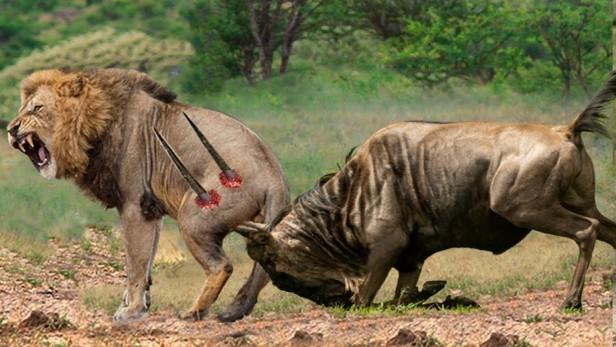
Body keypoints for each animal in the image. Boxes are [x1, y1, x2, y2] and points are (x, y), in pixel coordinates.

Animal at [6, 68, 292, 324]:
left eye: (37, 108)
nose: (10, 129)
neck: (95, 125)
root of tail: (275, 177)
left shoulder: (135, 206)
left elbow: (136, 263)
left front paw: (130, 312)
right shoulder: (152, 210)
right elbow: (147, 262)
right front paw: (138, 305)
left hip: (195, 215)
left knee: (222, 266)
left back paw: (194, 312)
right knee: (265, 267)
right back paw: (235, 310)